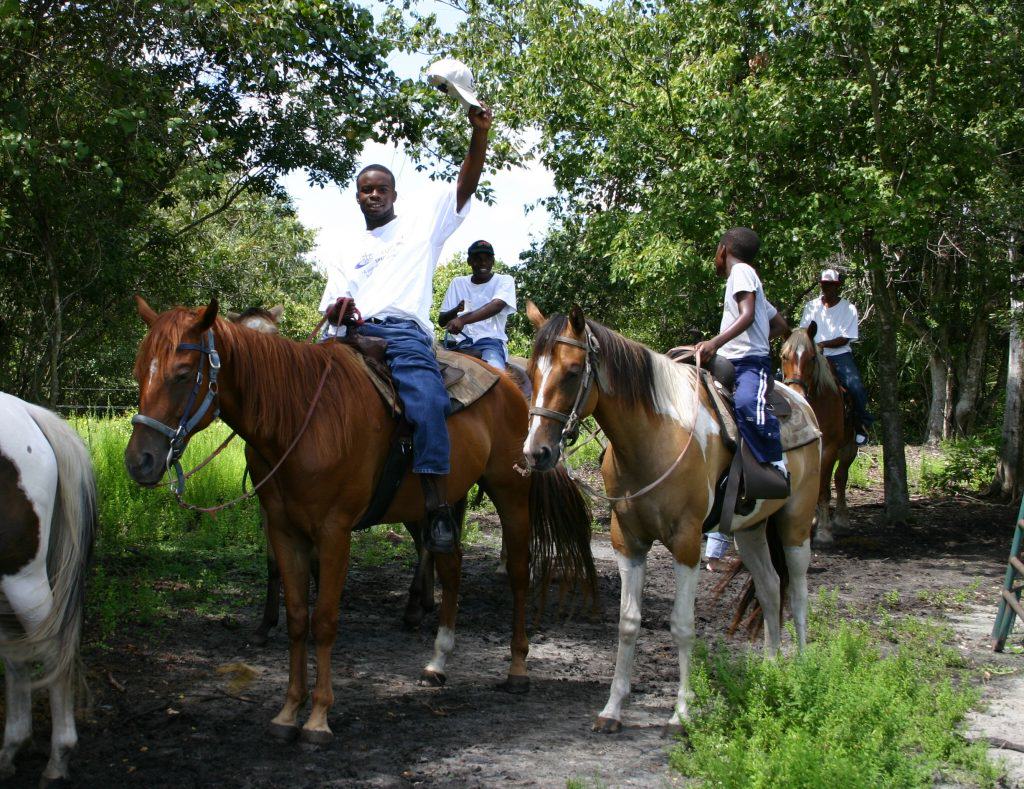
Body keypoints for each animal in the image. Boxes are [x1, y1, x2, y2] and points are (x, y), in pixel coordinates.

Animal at [123, 298, 598, 744]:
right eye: (139, 371)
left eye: (183, 373)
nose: (139, 461)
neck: (300, 419)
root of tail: (514, 387)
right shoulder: (284, 530)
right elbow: (299, 617)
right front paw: (287, 712)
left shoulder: (334, 533)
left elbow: (325, 620)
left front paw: (317, 718)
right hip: (444, 502)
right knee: (451, 564)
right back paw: (437, 661)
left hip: (510, 492)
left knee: (518, 571)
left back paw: (516, 668)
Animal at [524, 304, 819, 736]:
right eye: (532, 371)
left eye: (574, 370)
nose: (536, 452)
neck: (654, 439)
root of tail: (801, 401)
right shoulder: (627, 542)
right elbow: (628, 622)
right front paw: (613, 709)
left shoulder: (686, 543)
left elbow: (681, 625)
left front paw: (682, 713)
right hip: (750, 531)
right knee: (769, 589)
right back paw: (770, 670)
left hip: (795, 525)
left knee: (796, 593)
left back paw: (800, 669)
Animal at [778, 321, 860, 544]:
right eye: (784, 356)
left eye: (812, 357)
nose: (796, 392)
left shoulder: (829, 448)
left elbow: (824, 488)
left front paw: (824, 530)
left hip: (850, 448)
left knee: (840, 478)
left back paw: (841, 520)